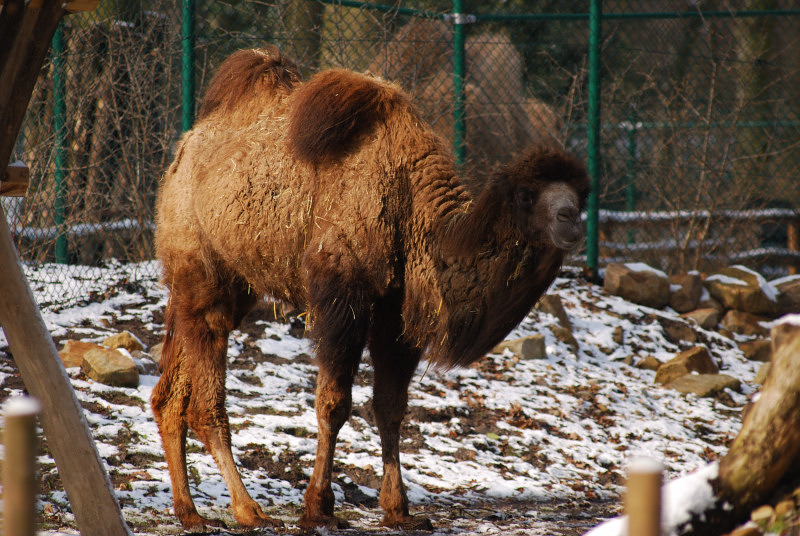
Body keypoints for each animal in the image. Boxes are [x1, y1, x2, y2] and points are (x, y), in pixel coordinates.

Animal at [150, 45, 589, 531]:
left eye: (581, 194)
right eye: (528, 196)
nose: (571, 218)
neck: (412, 208)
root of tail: (183, 152)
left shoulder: (397, 312)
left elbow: (391, 408)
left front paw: (399, 509)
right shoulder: (343, 291)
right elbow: (334, 403)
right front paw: (318, 507)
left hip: (229, 284)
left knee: (172, 391)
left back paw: (189, 511)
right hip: (198, 264)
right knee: (205, 398)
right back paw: (247, 509)